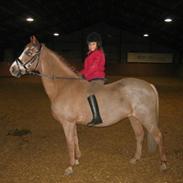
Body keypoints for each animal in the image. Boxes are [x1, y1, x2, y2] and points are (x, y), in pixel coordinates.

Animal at [8, 36, 167, 176]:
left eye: (29, 52)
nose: (12, 69)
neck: (63, 86)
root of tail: (149, 85)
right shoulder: (72, 123)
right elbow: (75, 139)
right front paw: (77, 160)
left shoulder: (67, 123)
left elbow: (69, 142)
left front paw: (70, 166)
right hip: (133, 118)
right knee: (139, 135)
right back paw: (135, 159)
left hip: (147, 119)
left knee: (158, 136)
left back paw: (163, 164)